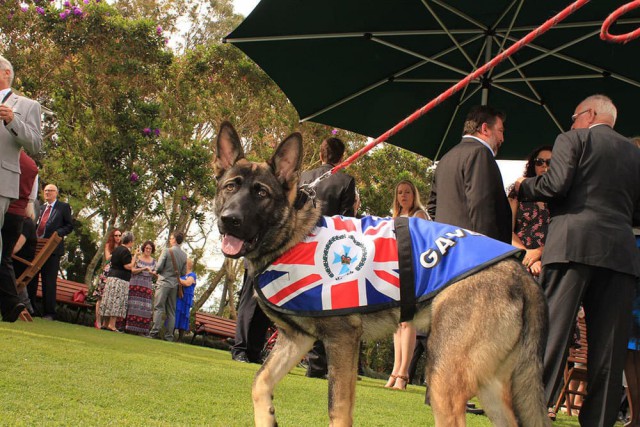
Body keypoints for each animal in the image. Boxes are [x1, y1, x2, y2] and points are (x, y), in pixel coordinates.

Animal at [215, 121, 552, 427]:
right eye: (230, 187)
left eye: (261, 193)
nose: (229, 220)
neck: (294, 235)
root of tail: (519, 270)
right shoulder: (296, 339)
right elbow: (259, 382)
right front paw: (268, 417)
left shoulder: (342, 341)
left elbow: (337, 410)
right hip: (488, 385)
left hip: (445, 380)